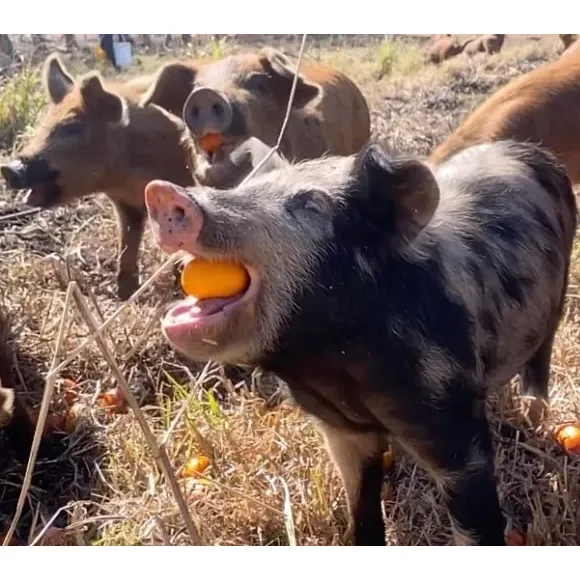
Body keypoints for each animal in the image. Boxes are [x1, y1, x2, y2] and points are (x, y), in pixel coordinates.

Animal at [143, 139, 576, 544]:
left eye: (310, 204)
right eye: (245, 187)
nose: (164, 192)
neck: (332, 368)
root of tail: (527, 149)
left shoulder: (457, 430)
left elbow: (477, 527)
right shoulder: (342, 432)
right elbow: (361, 512)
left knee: (543, 348)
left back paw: (534, 412)